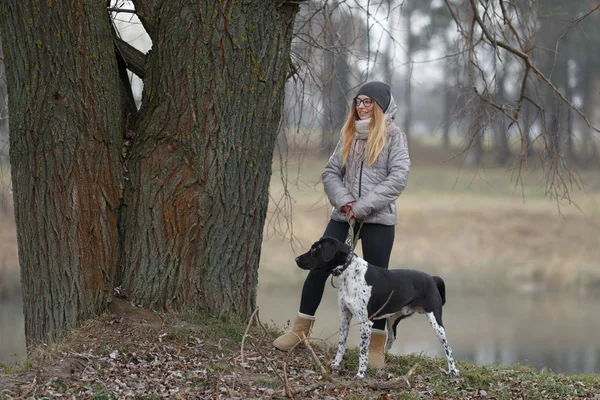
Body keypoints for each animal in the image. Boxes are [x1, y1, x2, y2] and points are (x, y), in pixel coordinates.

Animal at [296, 238, 460, 378]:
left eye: (315, 248)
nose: (296, 259)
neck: (350, 272)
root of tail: (432, 278)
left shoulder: (365, 322)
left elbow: (363, 352)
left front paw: (361, 374)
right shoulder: (344, 316)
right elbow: (341, 344)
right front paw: (336, 363)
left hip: (435, 321)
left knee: (448, 347)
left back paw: (453, 370)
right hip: (392, 319)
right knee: (391, 339)